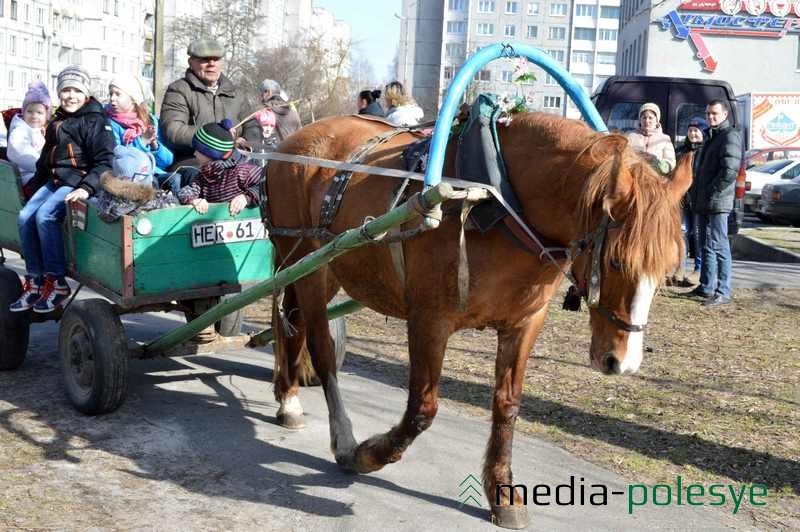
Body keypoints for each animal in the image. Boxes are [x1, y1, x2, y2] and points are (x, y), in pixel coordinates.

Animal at [266, 113, 692, 528]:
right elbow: (422, 409)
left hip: (322, 269)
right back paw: (334, 430)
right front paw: (370, 454)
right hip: (306, 263)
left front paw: (502, 492)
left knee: (293, 324)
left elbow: (508, 405)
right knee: (319, 345)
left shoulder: (524, 323)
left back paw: (288, 395)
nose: (622, 363)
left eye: (668, 268)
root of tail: (295, 140)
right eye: (617, 261)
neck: (498, 200)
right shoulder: (429, 319)